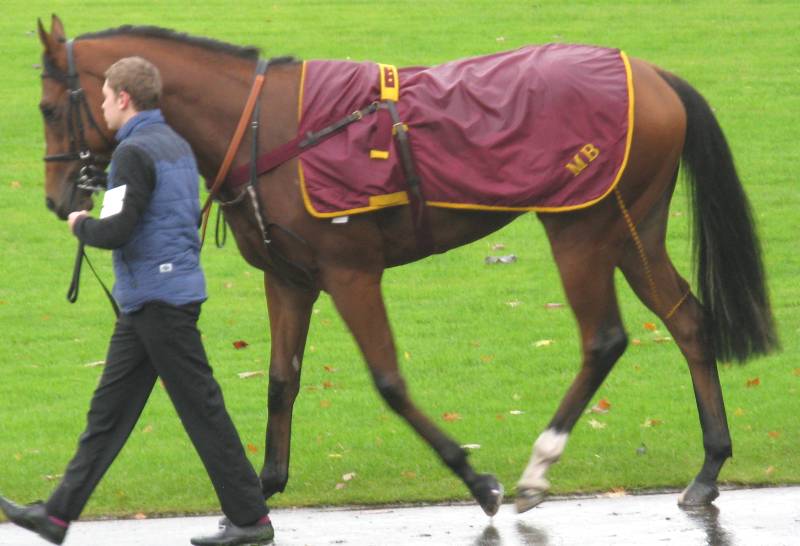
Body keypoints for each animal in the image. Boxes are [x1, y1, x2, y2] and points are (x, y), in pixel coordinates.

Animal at [36, 15, 778, 515]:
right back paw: (709, 467)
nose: (56, 200)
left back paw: (538, 468)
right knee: (688, 319)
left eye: (46, 107)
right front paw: (263, 486)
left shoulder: (351, 273)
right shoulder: (289, 278)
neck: (268, 128)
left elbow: (389, 381)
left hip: (581, 228)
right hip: (632, 227)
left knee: (605, 338)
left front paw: (475, 478)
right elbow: (281, 379)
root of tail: (651, 73)